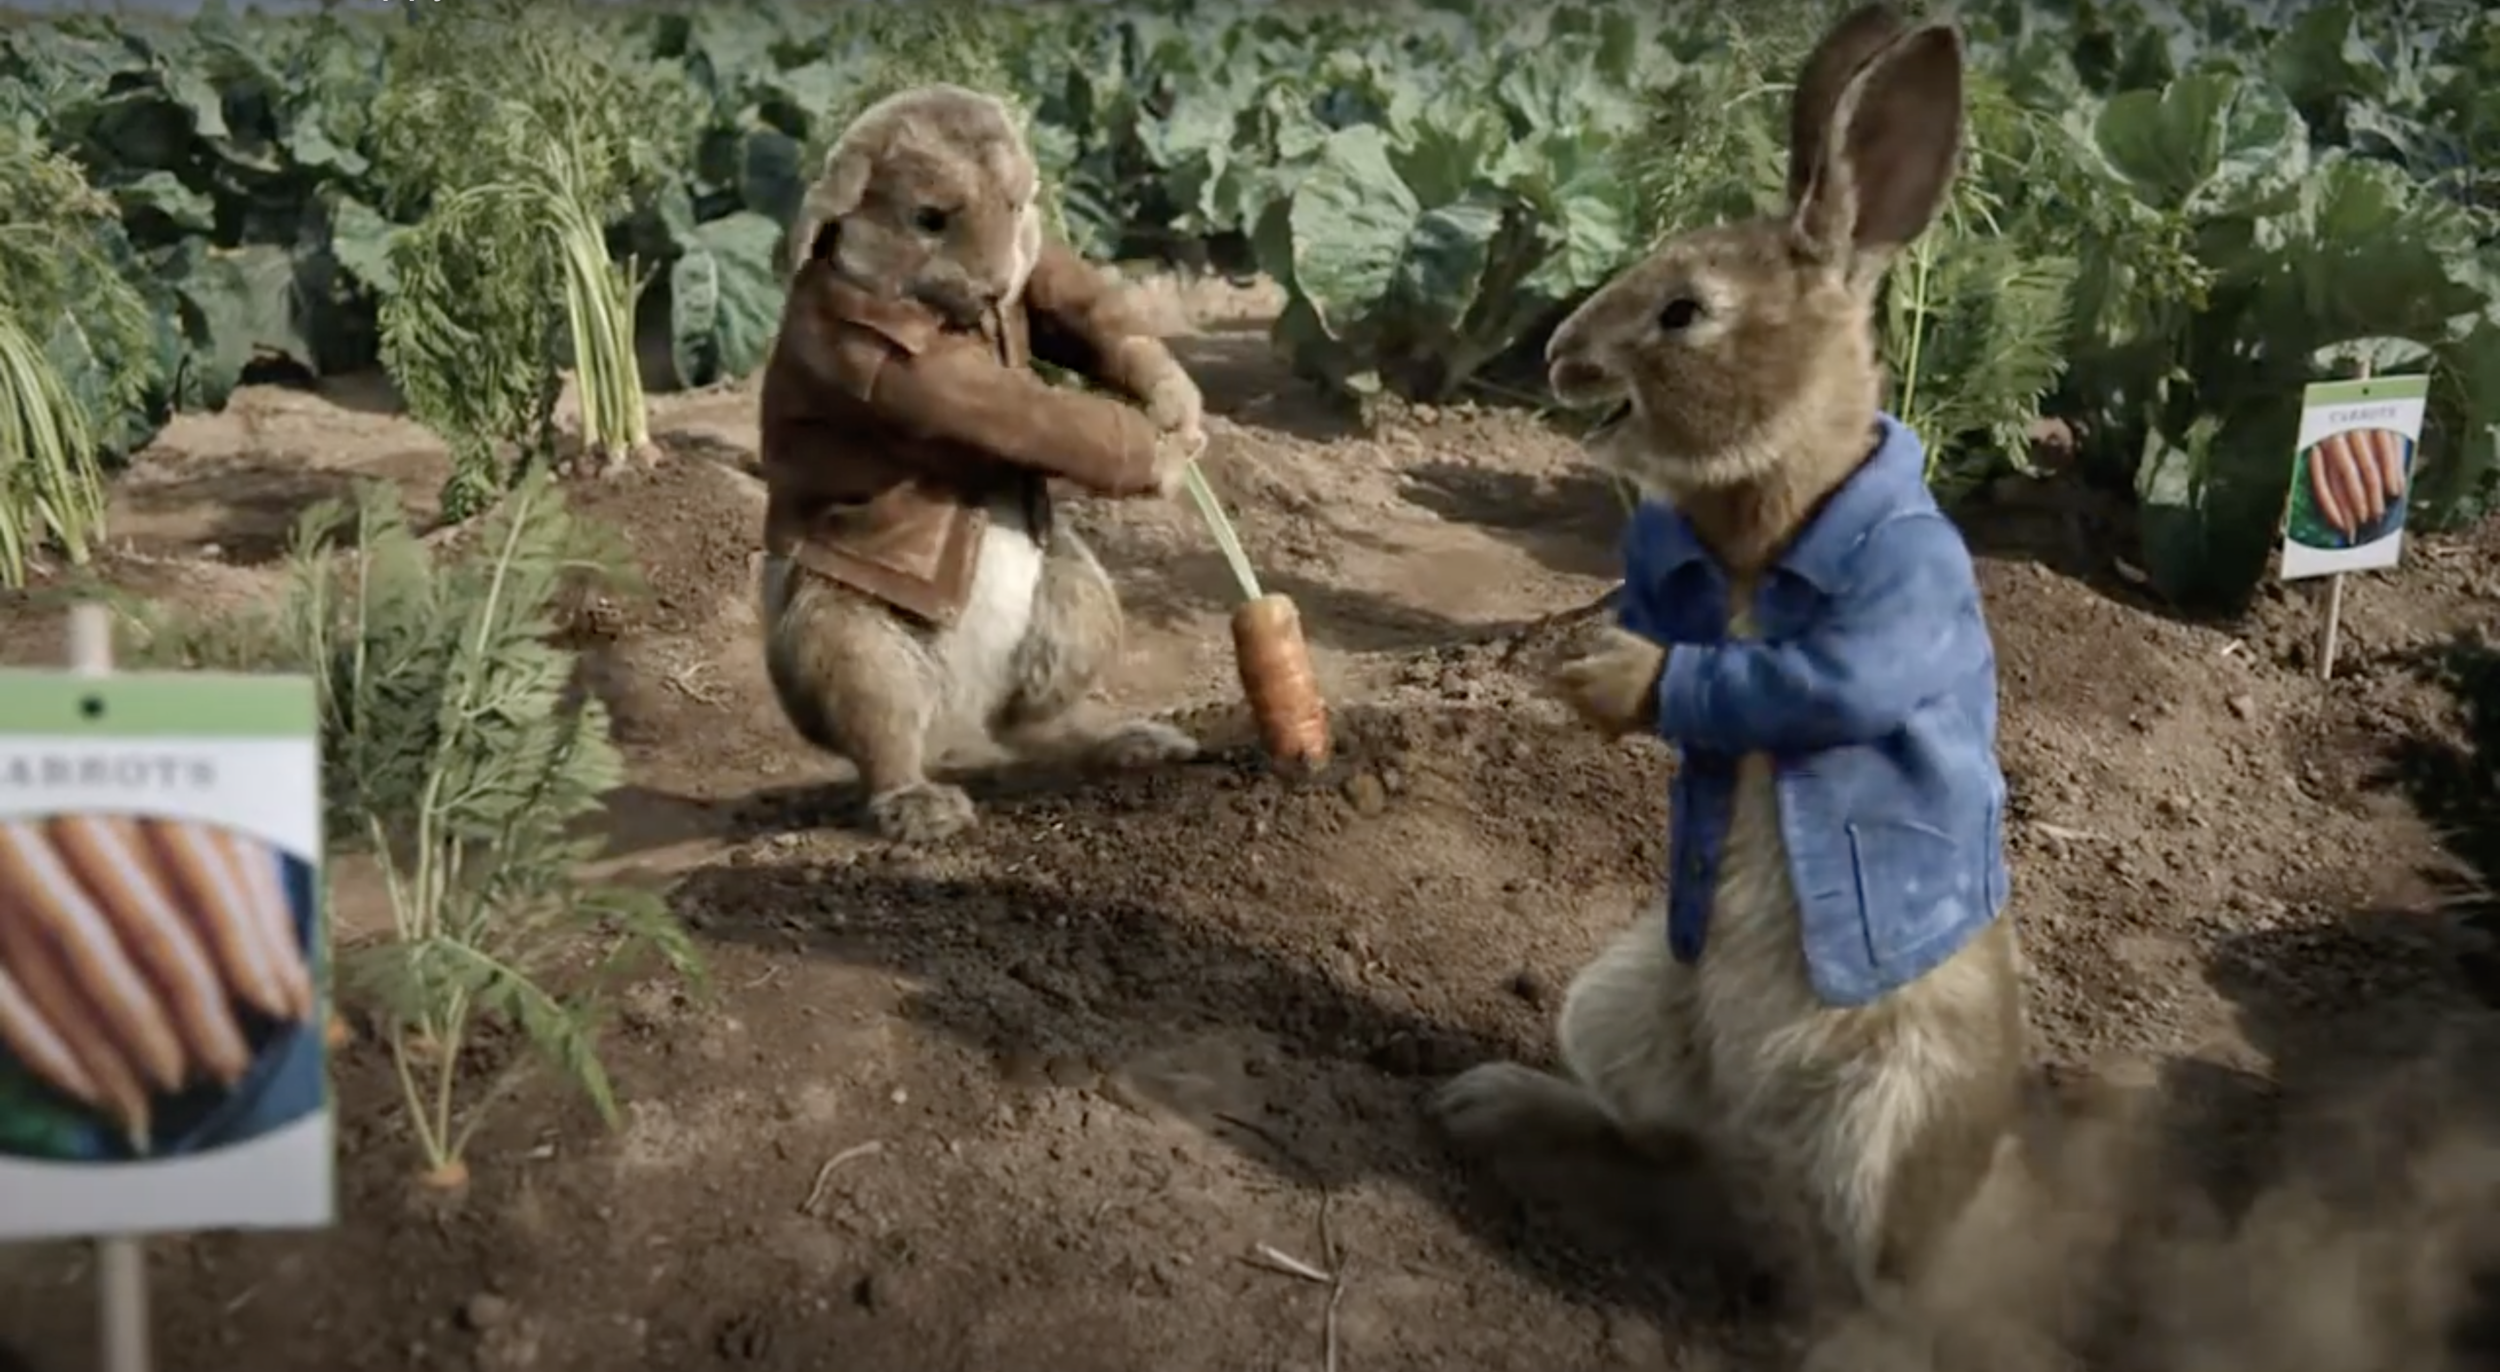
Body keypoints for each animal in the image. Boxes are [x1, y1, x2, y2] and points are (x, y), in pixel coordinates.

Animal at [757, 84, 1207, 845]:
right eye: (928, 219)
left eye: (1022, 204)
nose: (994, 286)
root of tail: (961, 704)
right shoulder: (898, 364)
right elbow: (1018, 409)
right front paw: (1167, 453)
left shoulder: (1040, 282)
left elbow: (1070, 295)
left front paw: (1176, 398)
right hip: (848, 637)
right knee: (884, 729)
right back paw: (923, 808)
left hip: (1071, 600)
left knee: (1037, 714)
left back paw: (1135, 742)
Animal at [1427, 5, 2030, 1354]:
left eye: (1684, 312)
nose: (1560, 358)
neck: (1770, 518)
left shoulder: (1887, 606)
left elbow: (1805, 678)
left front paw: (1611, 674)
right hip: (1624, 995)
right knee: (1659, 1138)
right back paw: (1488, 1105)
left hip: (1879, 1126)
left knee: (1841, 1268)